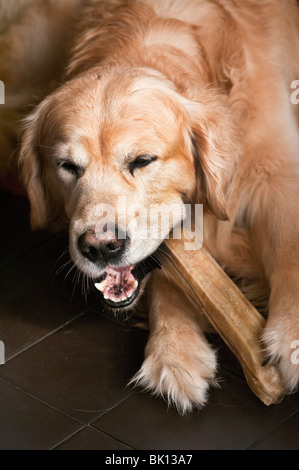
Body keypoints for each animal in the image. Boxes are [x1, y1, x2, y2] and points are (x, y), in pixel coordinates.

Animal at [18, 0, 299, 412]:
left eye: (142, 160)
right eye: (67, 166)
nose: (100, 247)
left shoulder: (277, 170)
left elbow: (289, 249)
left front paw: (292, 338)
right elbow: (166, 273)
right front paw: (174, 349)